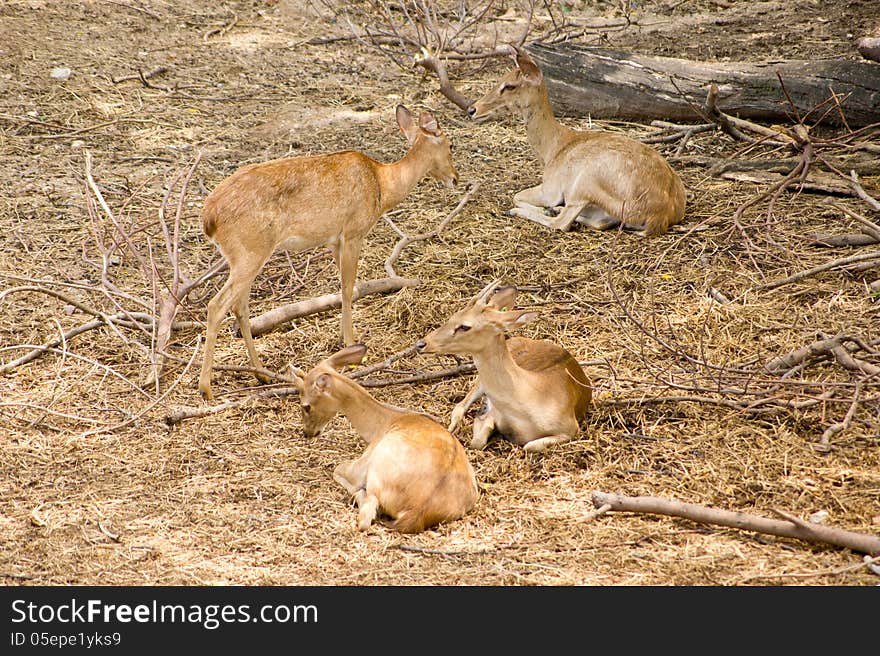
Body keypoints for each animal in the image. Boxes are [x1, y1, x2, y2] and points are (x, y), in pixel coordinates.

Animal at [198, 104, 460, 400]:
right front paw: (352, 345)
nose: (455, 178)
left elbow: (343, 287)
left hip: (244, 256)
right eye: (451, 144)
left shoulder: (334, 241)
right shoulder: (353, 231)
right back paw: (206, 388)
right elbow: (348, 288)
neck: (382, 186)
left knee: (239, 306)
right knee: (217, 305)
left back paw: (261, 373)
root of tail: (209, 217)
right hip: (250, 251)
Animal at [292, 344, 478, 532]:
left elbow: (337, 469)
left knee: (366, 514)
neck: (383, 423)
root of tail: (417, 511)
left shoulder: (360, 465)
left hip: (376, 468)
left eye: (306, 406)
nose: (307, 432)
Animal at [416, 280, 596, 454]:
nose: (421, 344)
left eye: (464, 326)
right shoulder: (495, 413)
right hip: (480, 383)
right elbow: (477, 440)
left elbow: (529, 445)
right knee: (460, 405)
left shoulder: (570, 428)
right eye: (453, 316)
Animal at [468, 45, 688, 236]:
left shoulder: (551, 190)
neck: (552, 149)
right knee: (599, 221)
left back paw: (533, 212)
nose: (472, 109)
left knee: (562, 223)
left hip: (583, 183)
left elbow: (517, 196)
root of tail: (660, 216)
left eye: (510, 86)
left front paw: (540, 208)